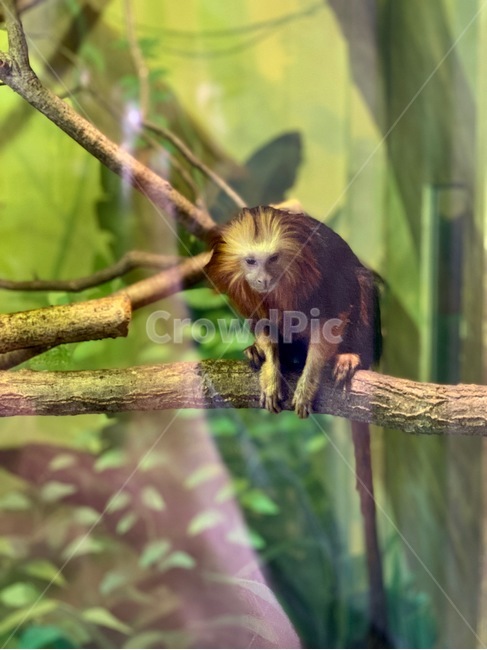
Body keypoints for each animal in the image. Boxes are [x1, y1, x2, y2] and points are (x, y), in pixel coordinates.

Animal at [205, 205, 389, 642]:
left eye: (273, 259)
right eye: (250, 261)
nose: (261, 278)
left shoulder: (321, 279)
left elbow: (332, 320)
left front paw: (308, 382)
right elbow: (264, 325)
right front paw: (271, 368)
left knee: (362, 284)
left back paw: (350, 359)